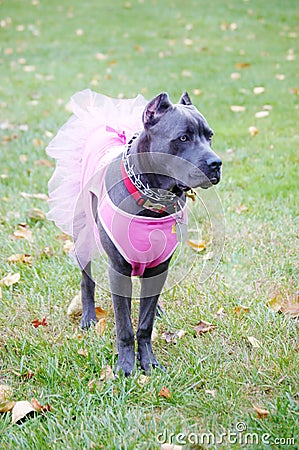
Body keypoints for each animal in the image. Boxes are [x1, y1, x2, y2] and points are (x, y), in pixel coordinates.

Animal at [47, 90, 223, 376]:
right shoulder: (118, 269)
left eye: (210, 136)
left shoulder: (160, 266)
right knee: (87, 280)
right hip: (83, 237)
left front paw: (148, 361)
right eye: (183, 138)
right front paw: (126, 365)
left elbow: (144, 323)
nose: (216, 163)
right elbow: (124, 325)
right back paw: (88, 317)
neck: (152, 198)